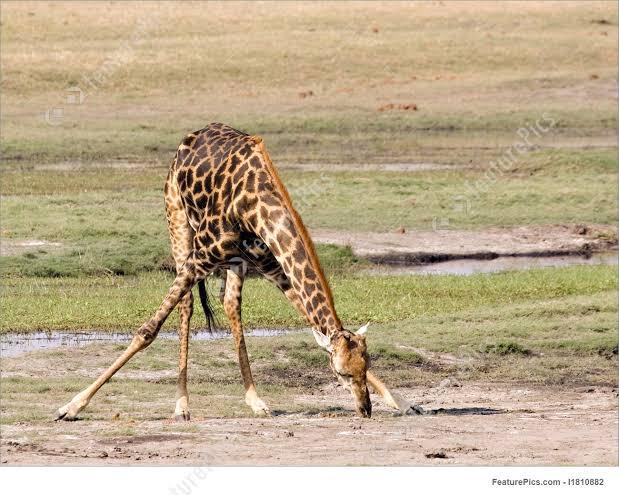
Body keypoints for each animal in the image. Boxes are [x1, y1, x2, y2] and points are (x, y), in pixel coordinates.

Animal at [57, 122, 416, 420]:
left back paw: (254, 400)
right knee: (187, 305)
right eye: (341, 373)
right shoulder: (201, 257)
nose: (365, 409)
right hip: (179, 225)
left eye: (366, 365)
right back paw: (181, 405)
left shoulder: (274, 266)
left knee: (230, 305)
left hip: (234, 263)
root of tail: (193, 135)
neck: (256, 207)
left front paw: (399, 400)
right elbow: (147, 331)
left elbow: (310, 320)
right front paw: (72, 406)